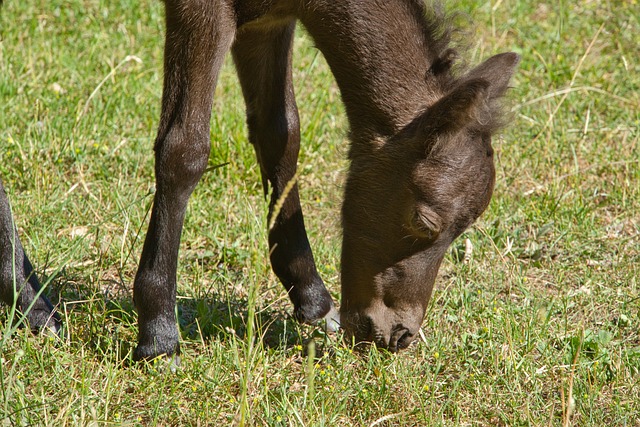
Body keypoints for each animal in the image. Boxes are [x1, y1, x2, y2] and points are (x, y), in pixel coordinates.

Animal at [0, 0, 516, 358]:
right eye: (424, 221)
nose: (396, 334)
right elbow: (184, 150)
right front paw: (159, 332)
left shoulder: (268, 19)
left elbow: (280, 132)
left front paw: (313, 301)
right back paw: (33, 306)